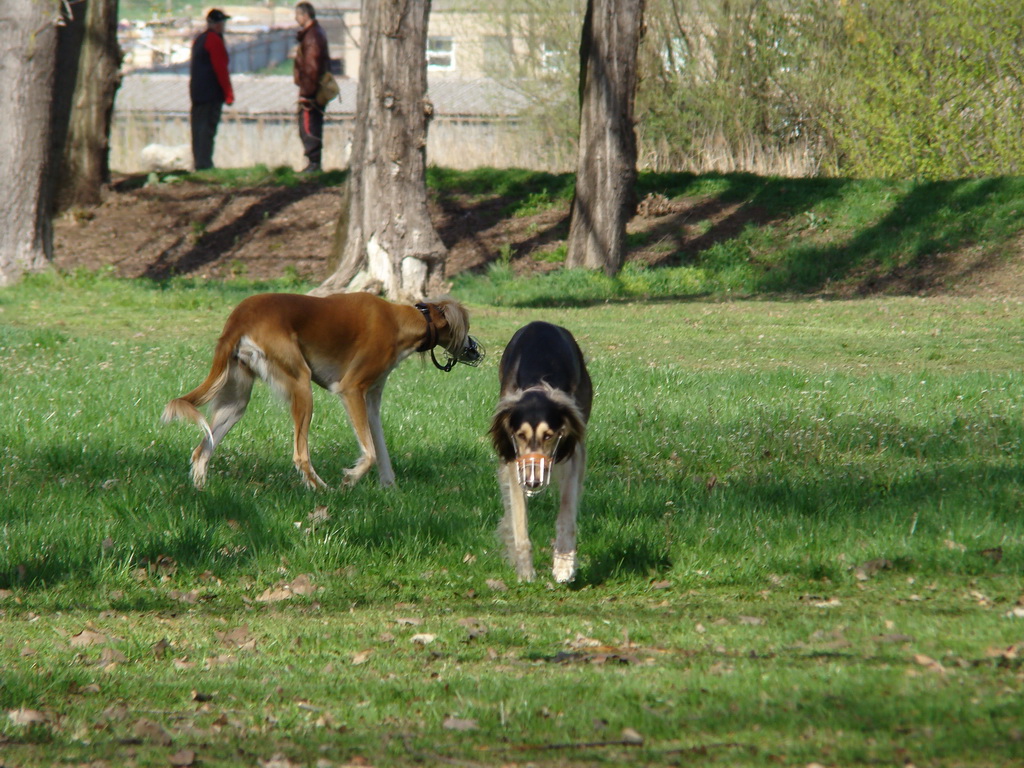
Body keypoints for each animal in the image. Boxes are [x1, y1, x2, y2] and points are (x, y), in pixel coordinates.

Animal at [161, 290, 481, 489]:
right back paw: (323, 491)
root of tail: (241, 315)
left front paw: (390, 489)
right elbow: (370, 454)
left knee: (201, 451)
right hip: (301, 384)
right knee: (300, 456)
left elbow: (381, 450)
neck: (401, 320)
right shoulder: (351, 389)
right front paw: (351, 479)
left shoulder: (371, 401)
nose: (475, 349)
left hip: (236, 401)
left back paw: (201, 491)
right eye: (466, 330)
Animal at [487, 319, 593, 581]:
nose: (533, 483)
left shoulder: (573, 450)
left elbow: (566, 512)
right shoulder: (514, 459)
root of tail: (541, 322)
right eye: (520, 435)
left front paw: (564, 564)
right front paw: (525, 569)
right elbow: (519, 520)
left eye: (549, 435)